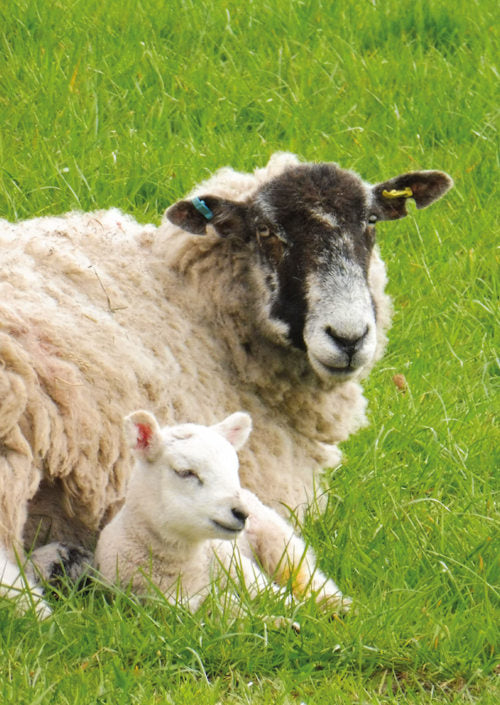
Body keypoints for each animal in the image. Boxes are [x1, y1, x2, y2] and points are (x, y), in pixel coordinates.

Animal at [94, 409, 348, 614]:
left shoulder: (245, 573)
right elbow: (223, 613)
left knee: (303, 575)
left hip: (278, 541)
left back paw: (340, 605)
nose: (242, 513)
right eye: (185, 472)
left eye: (233, 469)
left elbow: (278, 597)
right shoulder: (163, 602)